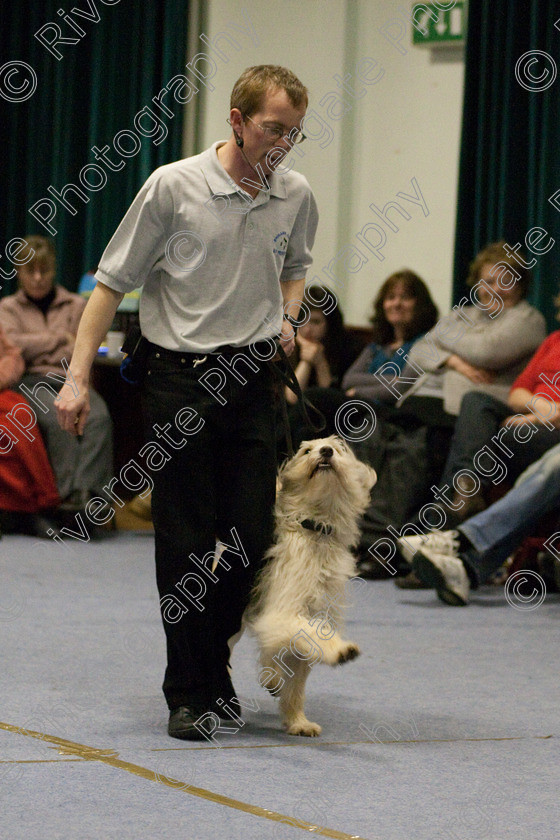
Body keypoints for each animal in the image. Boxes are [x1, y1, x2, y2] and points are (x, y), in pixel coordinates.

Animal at [248, 436, 376, 740]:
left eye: (338, 449)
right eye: (306, 451)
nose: (326, 451)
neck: (316, 529)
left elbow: (295, 683)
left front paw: (297, 721)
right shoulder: (282, 613)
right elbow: (311, 633)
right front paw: (340, 651)